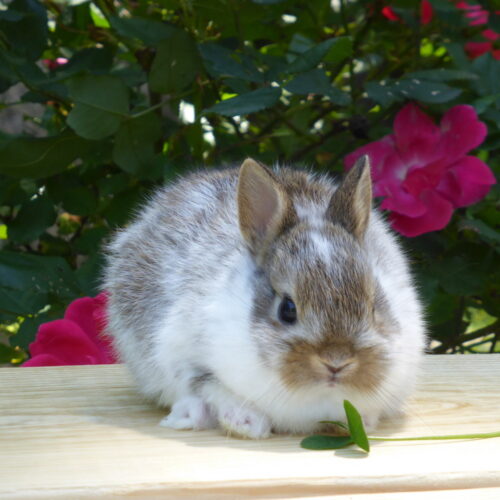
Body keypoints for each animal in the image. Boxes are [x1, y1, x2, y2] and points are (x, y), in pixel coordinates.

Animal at [102, 156, 426, 438]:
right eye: (287, 309)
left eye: (373, 306)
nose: (336, 361)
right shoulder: (182, 356)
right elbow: (208, 386)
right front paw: (245, 423)